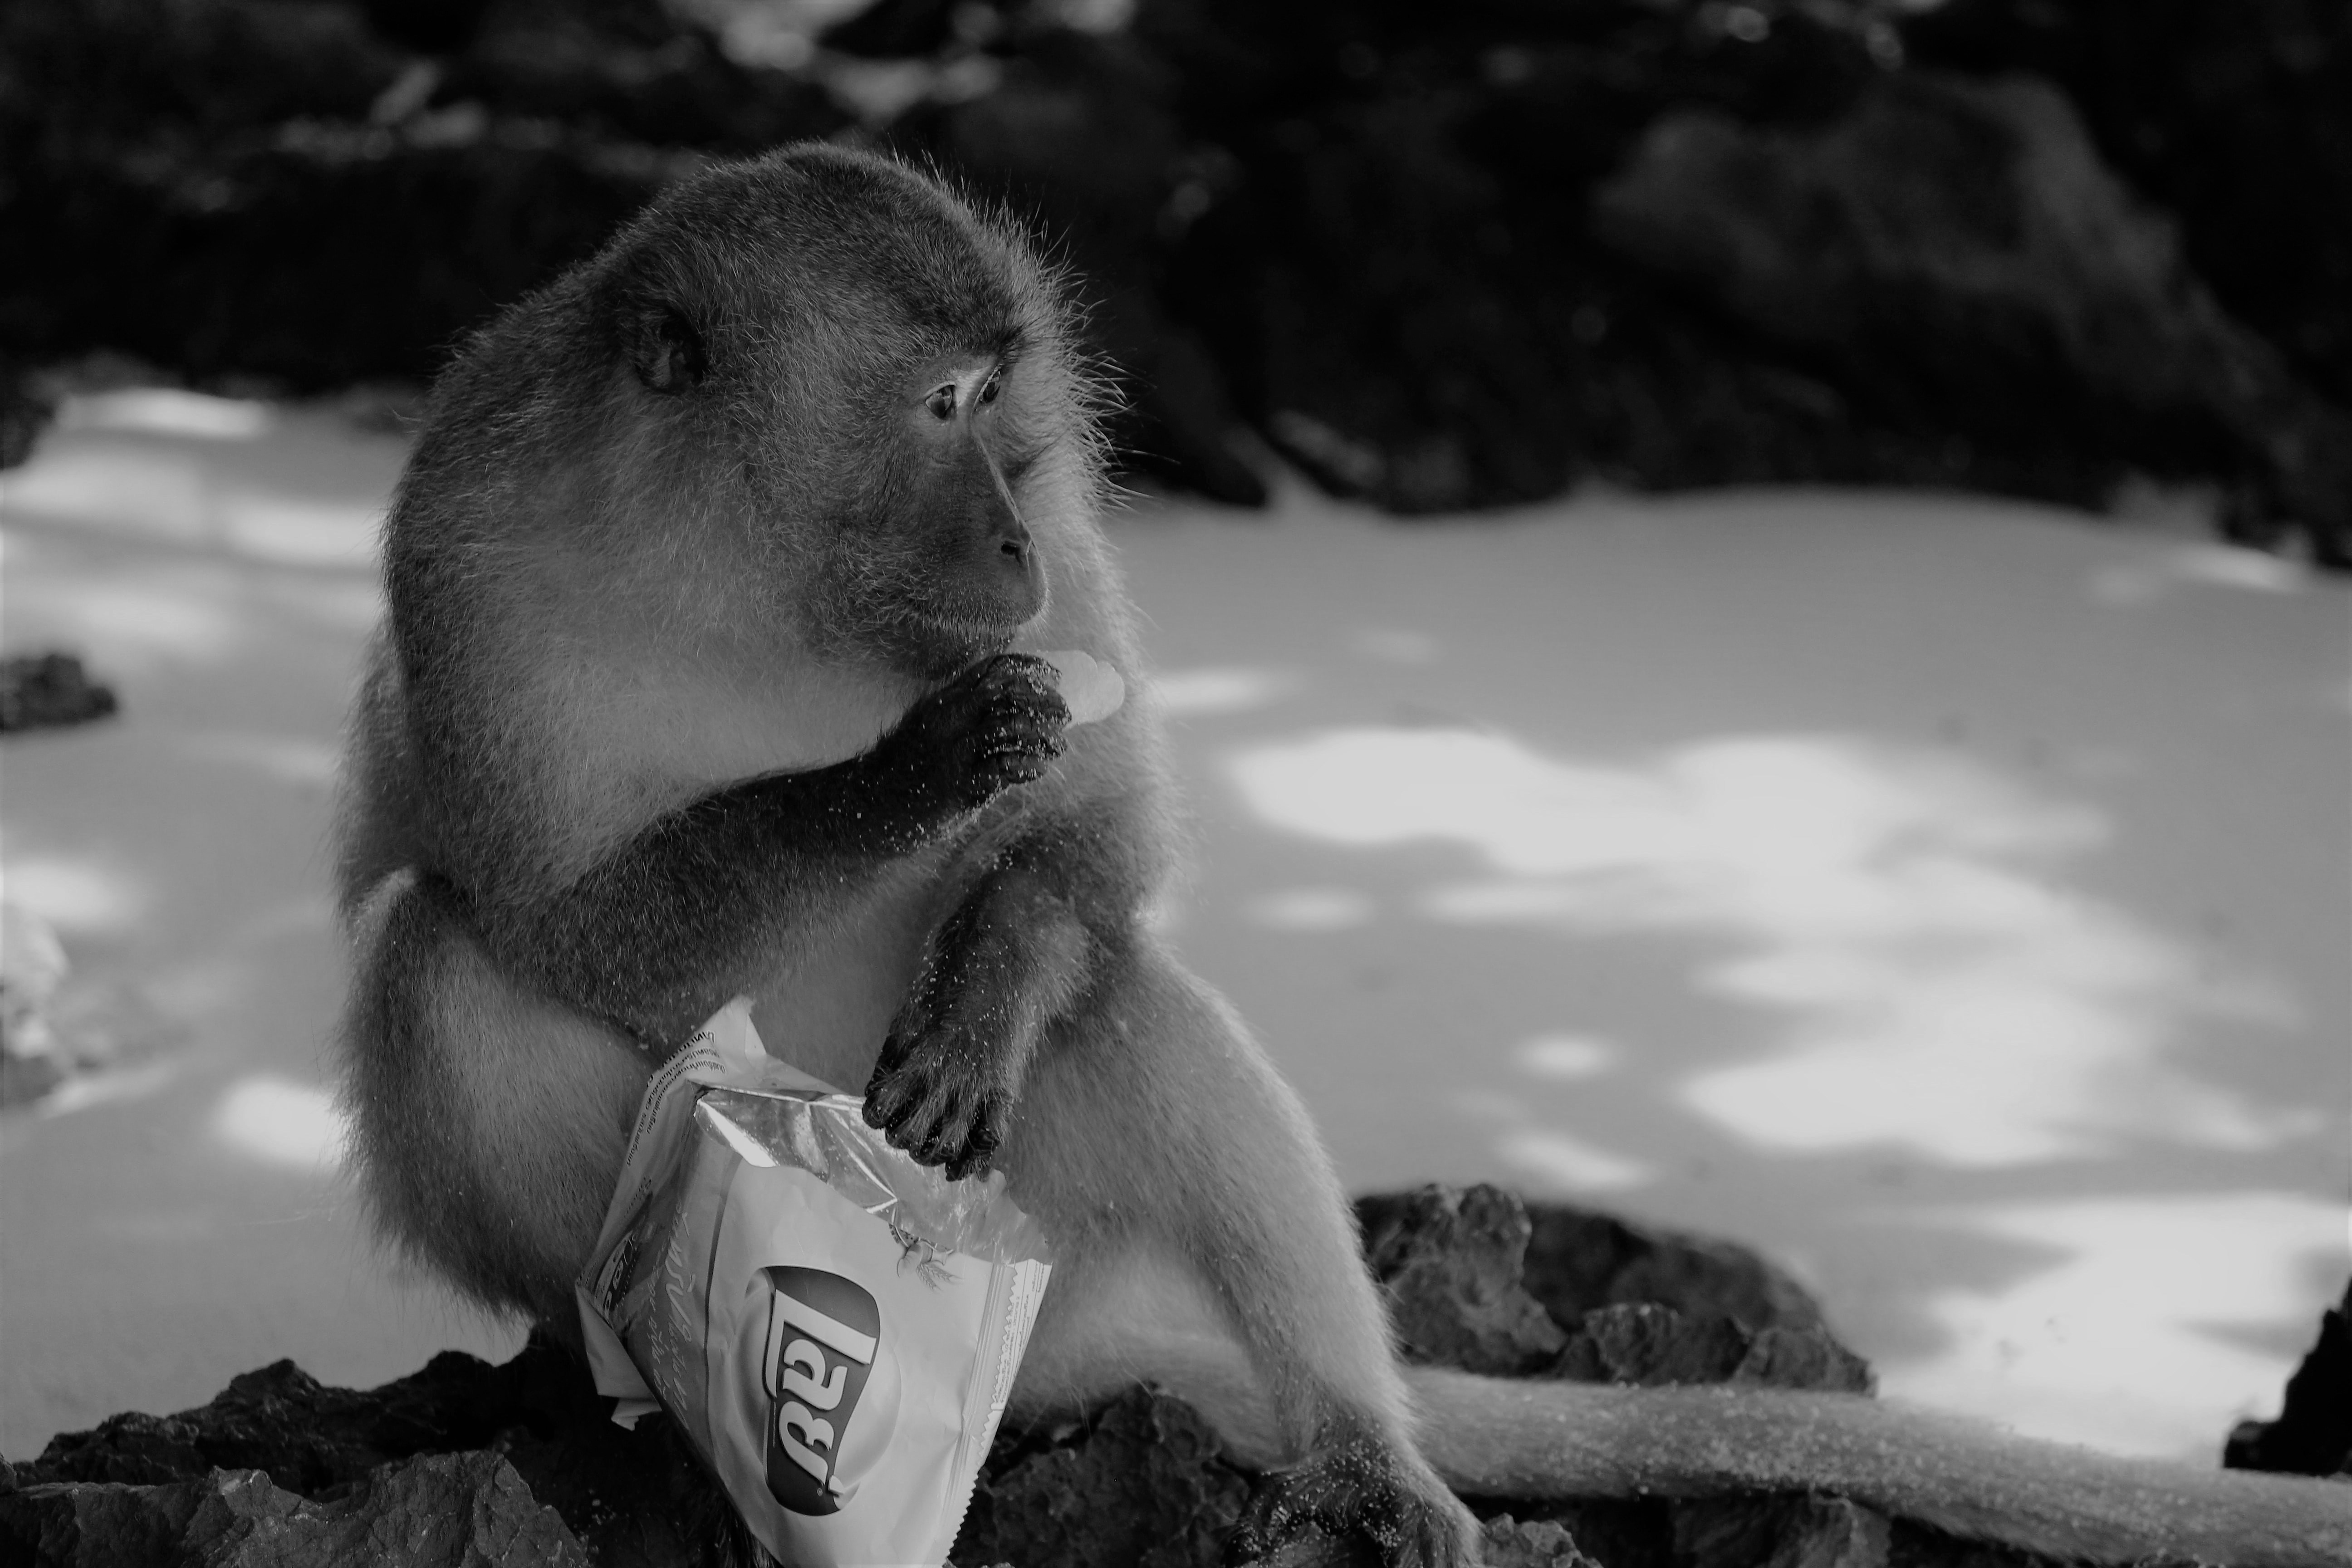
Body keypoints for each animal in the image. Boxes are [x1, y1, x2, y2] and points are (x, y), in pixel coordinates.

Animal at [333, 145, 2352, 1568]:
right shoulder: (470, 542)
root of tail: (1062, 1361)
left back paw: (1361, 1450)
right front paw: (910, 768)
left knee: (1136, 1010)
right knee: (451, 970)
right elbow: (559, 920)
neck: (747, 577)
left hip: (1059, 1232)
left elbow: (1097, 835)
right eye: (936, 409)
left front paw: (984, 978)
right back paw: (629, 1399)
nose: (1013, 542)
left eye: (1003, 409)